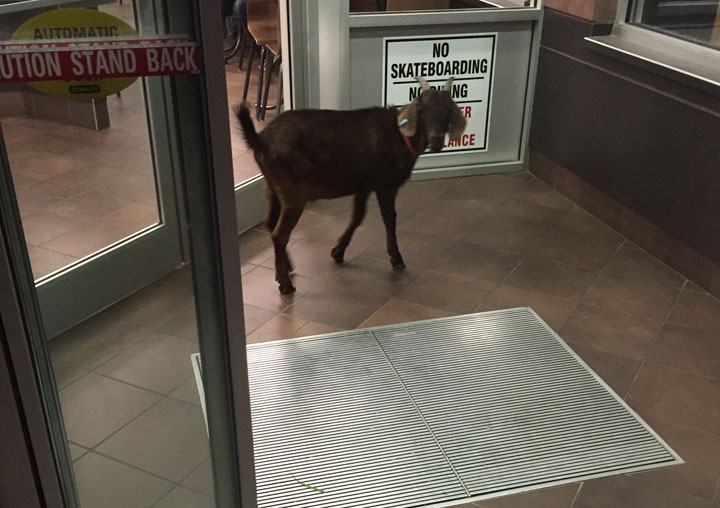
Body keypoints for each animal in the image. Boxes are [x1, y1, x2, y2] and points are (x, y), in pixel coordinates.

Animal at [236, 76, 467, 294]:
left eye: (448, 111)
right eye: (422, 110)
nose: (437, 141)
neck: (401, 137)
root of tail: (261, 140)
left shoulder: (363, 184)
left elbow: (358, 216)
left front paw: (338, 251)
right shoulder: (385, 184)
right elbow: (390, 219)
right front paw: (397, 259)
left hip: (271, 186)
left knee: (270, 223)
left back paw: (285, 268)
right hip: (293, 191)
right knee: (279, 233)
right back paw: (285, 284)